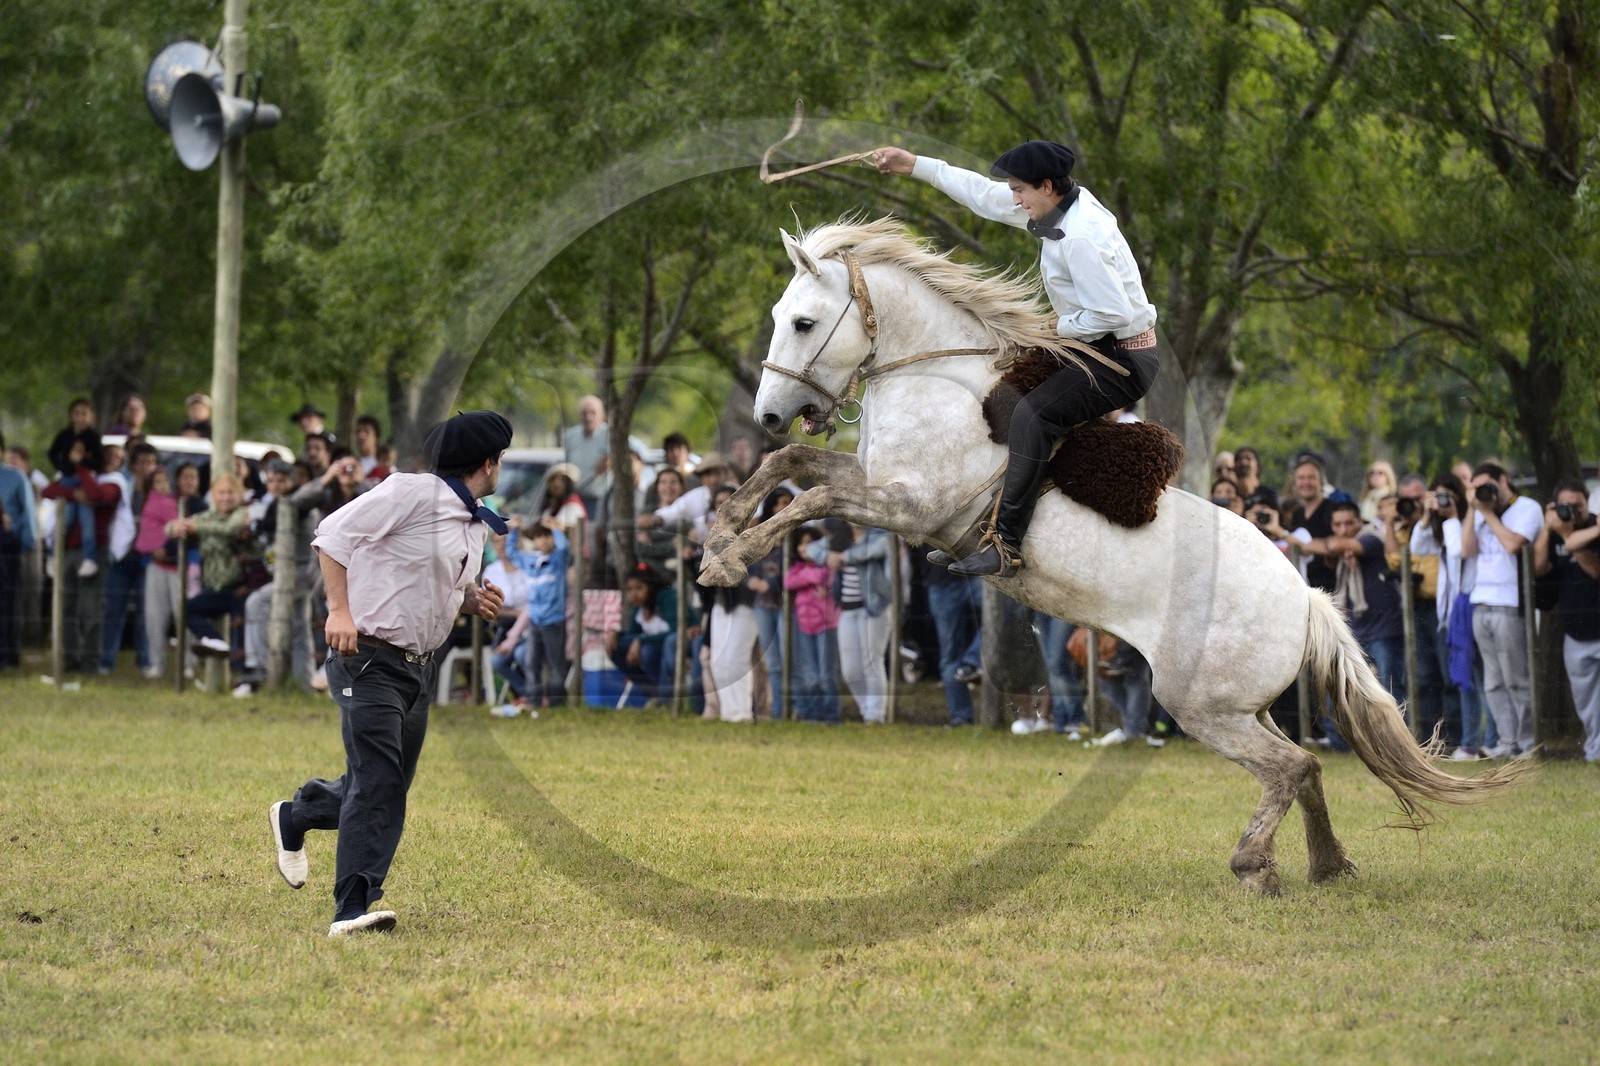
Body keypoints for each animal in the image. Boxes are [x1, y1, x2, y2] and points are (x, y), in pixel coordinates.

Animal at [698, 216, 1514, 895]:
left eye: (803, 321)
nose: (768, 412)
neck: (942, 382)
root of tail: (1306, 599)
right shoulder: (871, 482)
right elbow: (792, 468)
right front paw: (719, 534)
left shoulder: (909, 507)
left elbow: (806, 501)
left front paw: (728, 562)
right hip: (1242, 705)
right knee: (1302, 771)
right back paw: (1325, 864)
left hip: (1198, 704)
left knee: (1297, 765)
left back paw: (1255, 864)